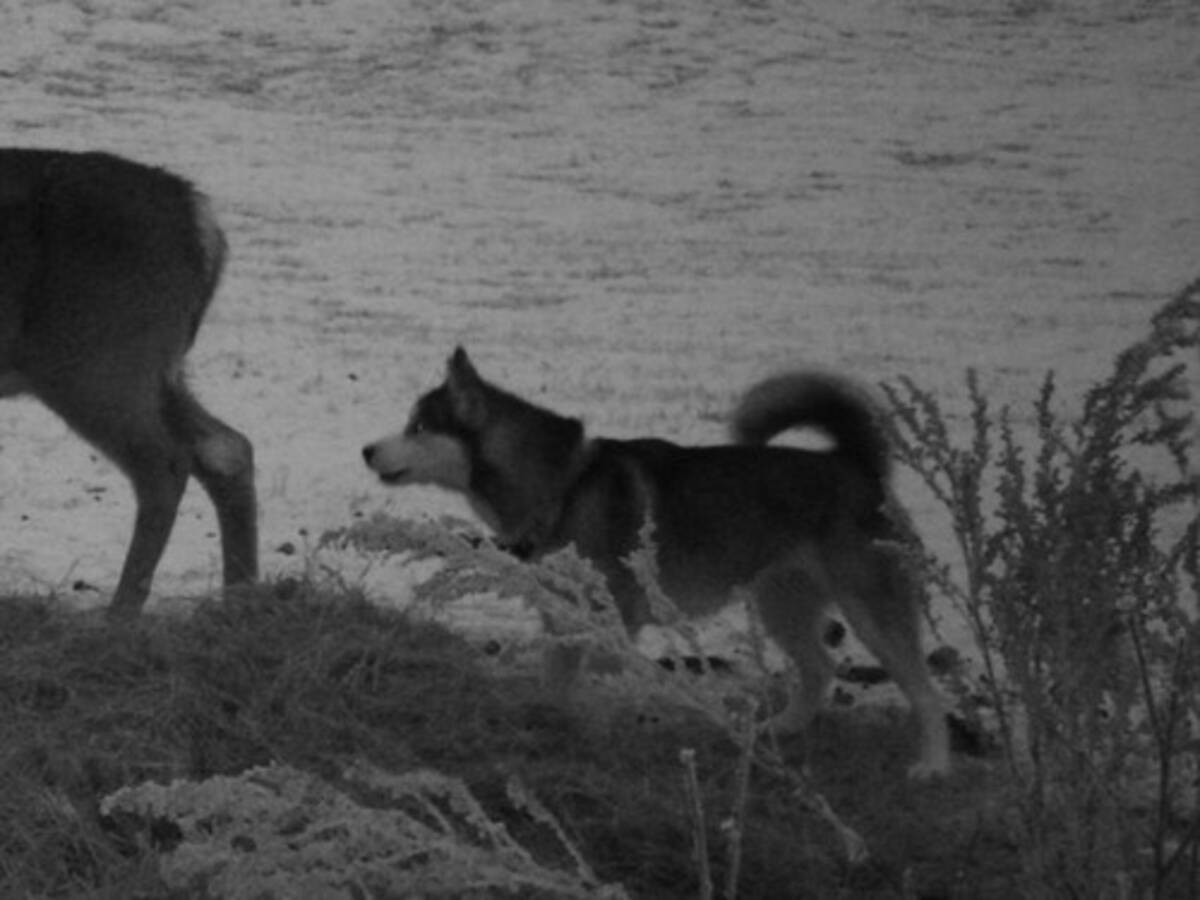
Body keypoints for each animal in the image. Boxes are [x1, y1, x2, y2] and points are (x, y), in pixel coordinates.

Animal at [0, 151, 258, 624]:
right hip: (155, 368)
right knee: (227, 447)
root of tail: (202, 221)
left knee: (165, 465)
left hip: (96, 360)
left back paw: (120, 614)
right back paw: (240, 600)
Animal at [360, 348, 950, 777]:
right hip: (782, 602)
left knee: (924, 690)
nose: (366, 450)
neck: (564, 488)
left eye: (417, 428)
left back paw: (931, 767)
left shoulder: (615, 614)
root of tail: (857, 465)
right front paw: (552, 722)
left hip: (871, 610)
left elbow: (594, 663)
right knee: (820, 669)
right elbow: (555, 677)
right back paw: (781, 730)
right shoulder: (561, 614)